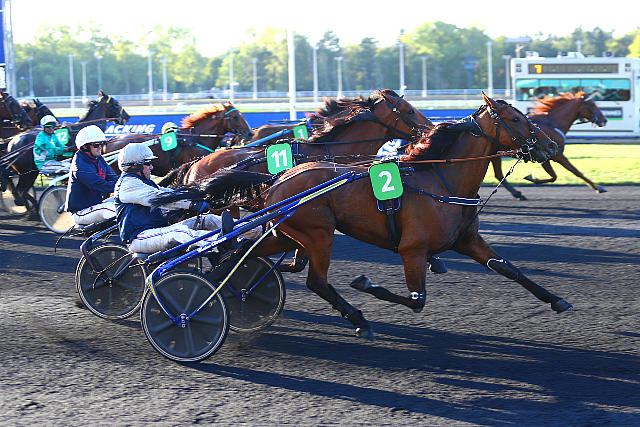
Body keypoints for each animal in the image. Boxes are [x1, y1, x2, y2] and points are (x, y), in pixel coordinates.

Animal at [242, 93, 568, 339]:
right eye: (516, 119)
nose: (551, 145)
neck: (443, 182)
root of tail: (278, 180)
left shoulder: (468, 240)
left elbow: (509, 269)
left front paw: (557, 300)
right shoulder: (412, 249)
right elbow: (417, 300)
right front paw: (366, 284)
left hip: (287, 234)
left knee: (244, 253)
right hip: (319, 235)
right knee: (317, 282)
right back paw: (359, 320)